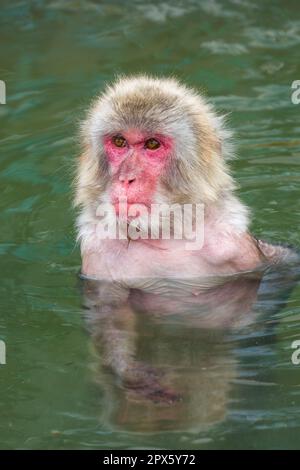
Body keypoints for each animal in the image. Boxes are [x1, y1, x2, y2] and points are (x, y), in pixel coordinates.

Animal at [74, 75, 298, 410]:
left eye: (152, 144)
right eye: (120, 142)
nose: (126, 178)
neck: (166, 234)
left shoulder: (235, 246)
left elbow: (281, 269)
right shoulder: (99, 261)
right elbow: (109, 313)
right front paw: (130, 372)